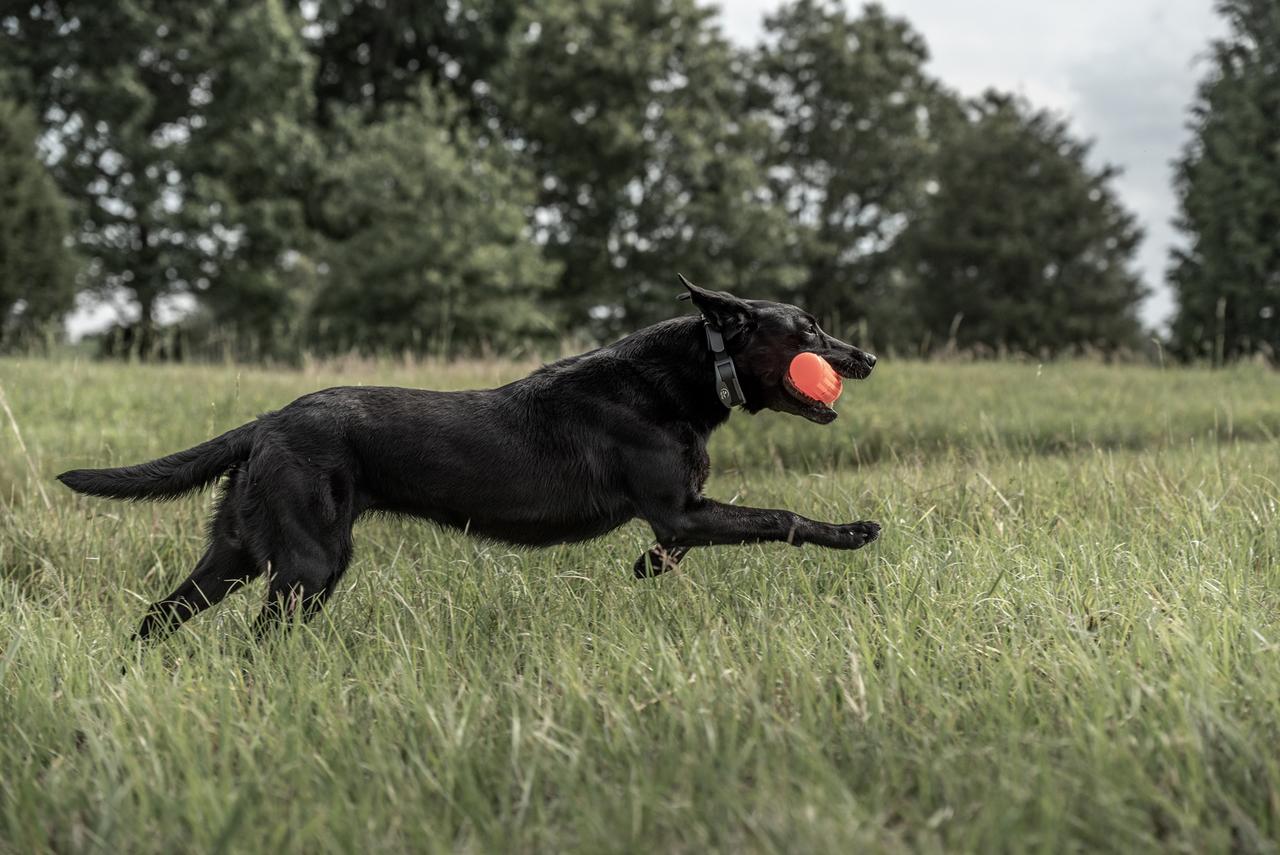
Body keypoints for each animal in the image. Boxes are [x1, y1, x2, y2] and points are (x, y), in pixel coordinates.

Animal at [60, 280, 880, 639]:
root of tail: (267, 422)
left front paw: (645, 567)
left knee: (157, 617)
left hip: (235, 552)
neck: (688, 375)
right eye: (808, 330)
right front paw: (852, 533)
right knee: (253, 638)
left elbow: (678, 547)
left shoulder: (680, 515)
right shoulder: (681, 508)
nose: (866, 357)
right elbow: (781, 516)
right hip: (306, 565)